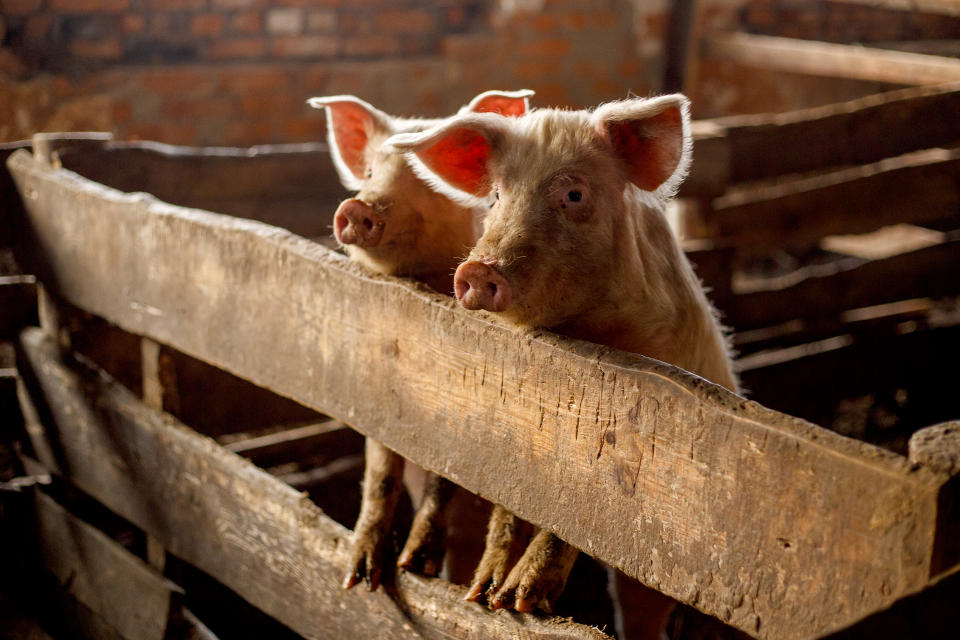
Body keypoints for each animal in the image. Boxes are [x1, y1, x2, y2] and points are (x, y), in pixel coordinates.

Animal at [306, 89, 532, 592]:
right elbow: (379, 474)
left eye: (425, 179)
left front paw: (413, 565)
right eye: (371, 172)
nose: (358, 207)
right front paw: (361, 578)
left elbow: (443, 481)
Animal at [386, 95, 740, 616]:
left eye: (573, 195)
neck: (575, 335)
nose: (478, 269)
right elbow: (516, 503)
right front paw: (485, 595)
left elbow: (576, 511)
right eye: (496, 197)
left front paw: (517, 601)